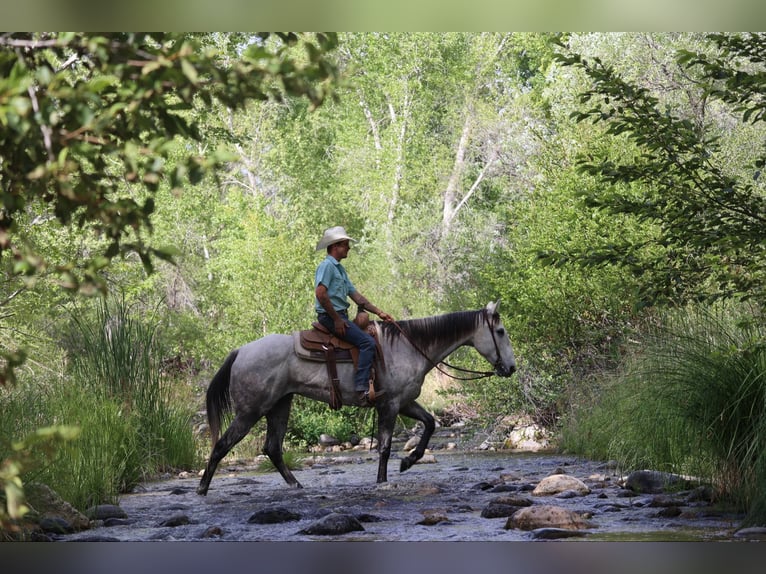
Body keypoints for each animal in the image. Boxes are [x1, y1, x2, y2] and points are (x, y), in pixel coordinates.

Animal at [196, 300, 516, 495]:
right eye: (500, 331)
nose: (511, 368)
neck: (409, 347)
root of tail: (240, 351)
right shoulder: (390, 405)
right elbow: (385, 446)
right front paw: (383, 480)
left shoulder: (405, 402)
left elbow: (430, 424)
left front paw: (409, 461)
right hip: (250, 411)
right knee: (222, 445)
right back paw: (202, 489)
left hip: (279, 406)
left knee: (272, 448)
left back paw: (296, 485)